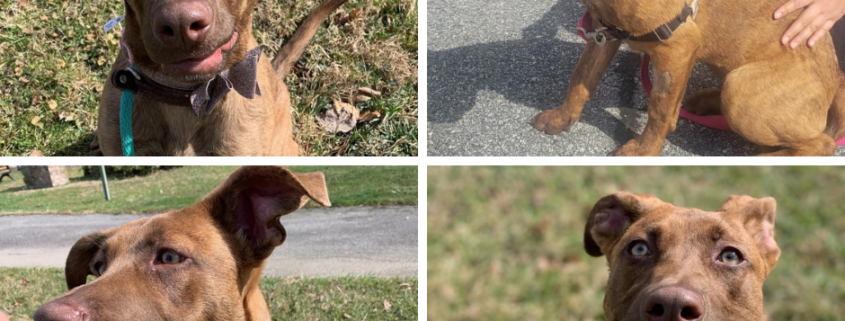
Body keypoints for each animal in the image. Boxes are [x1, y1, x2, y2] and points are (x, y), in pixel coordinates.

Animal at [536, 0, 844, 155]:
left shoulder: (677, 46)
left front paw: (644, 152)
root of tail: (836, 79)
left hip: (740, 93)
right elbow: (581, 77)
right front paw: (562, 116)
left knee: (823, 145)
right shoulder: (603, 32)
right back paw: (705, 101)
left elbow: (659, 110)